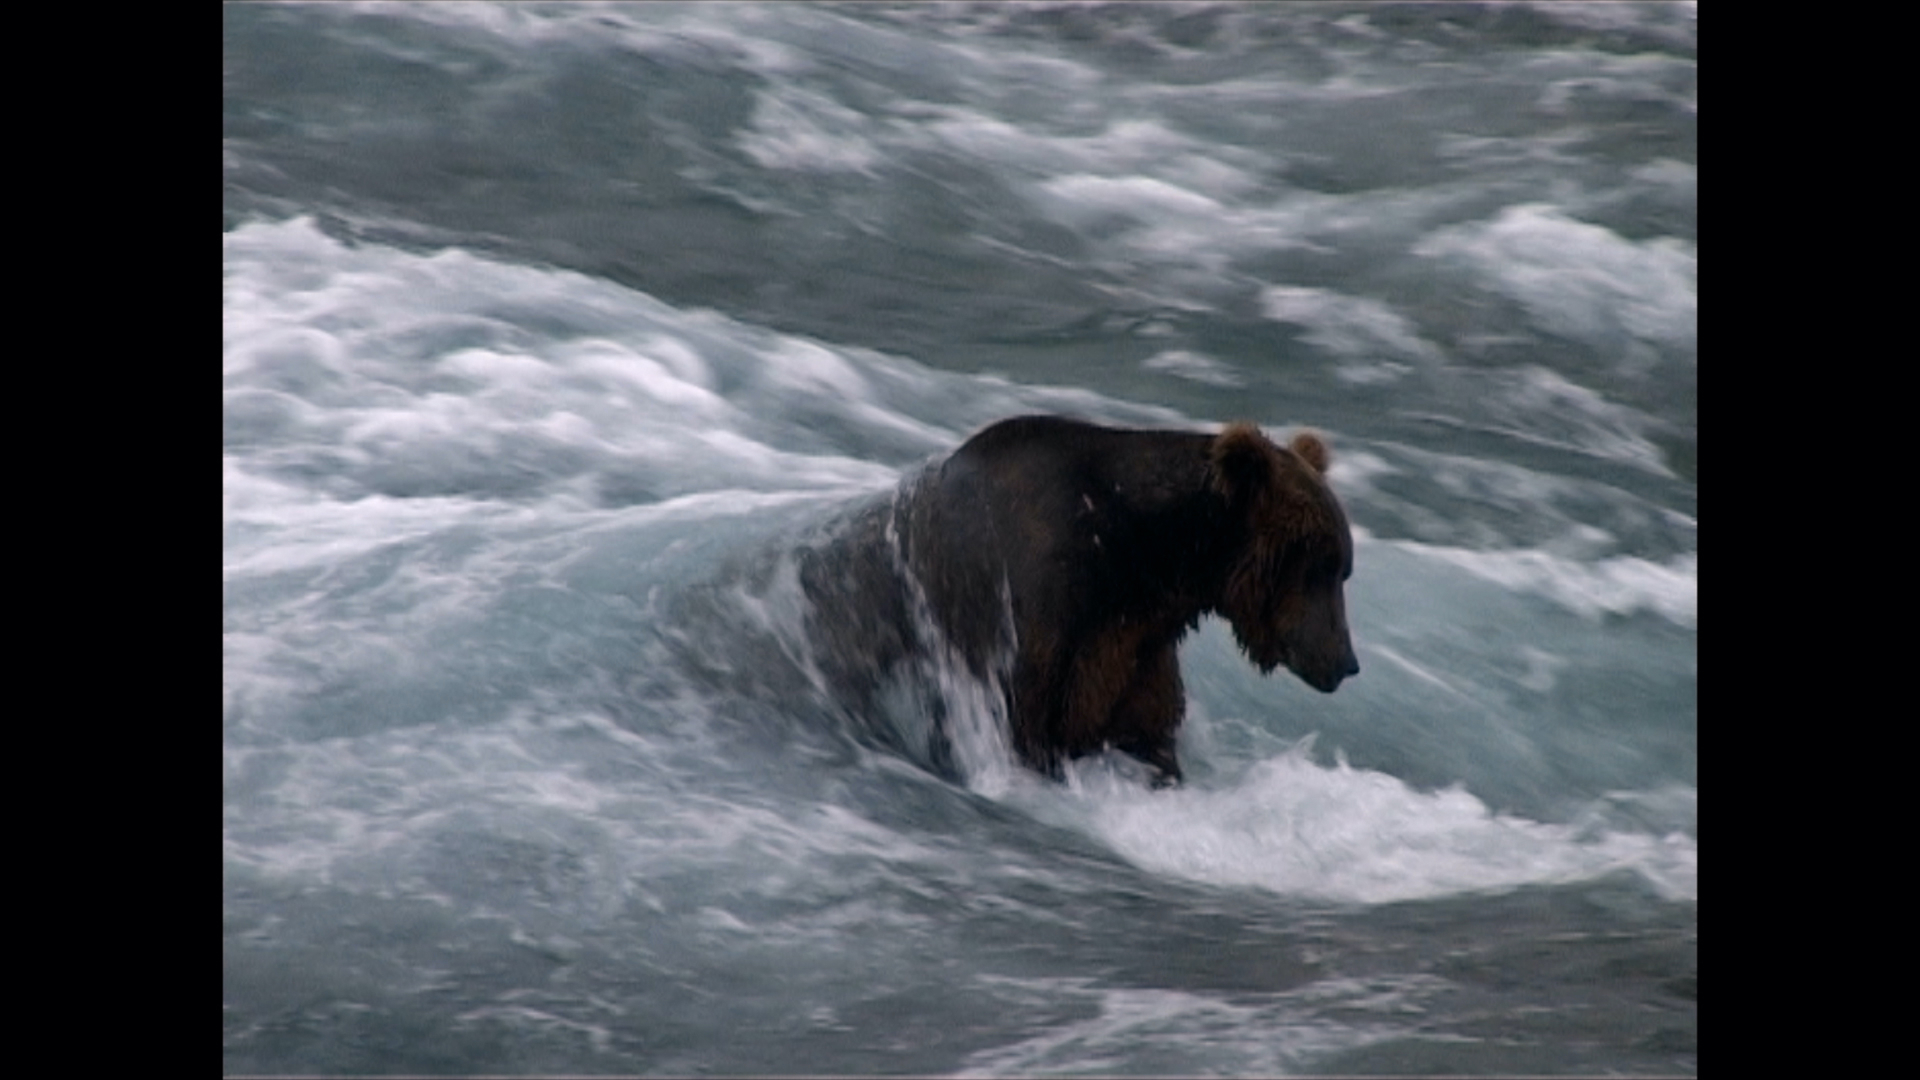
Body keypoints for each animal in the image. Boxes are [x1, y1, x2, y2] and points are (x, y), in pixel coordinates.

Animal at [864, 411, 1359, 780]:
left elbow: (1144, 731)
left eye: (1344, 569)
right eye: (1321, 566)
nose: (1346, 661)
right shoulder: (1032, 625)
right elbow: (1026, 723)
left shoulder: (1128, 649)